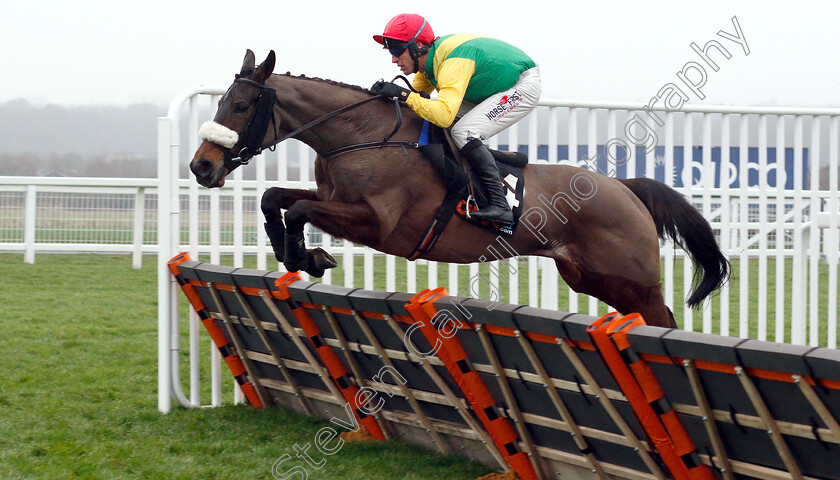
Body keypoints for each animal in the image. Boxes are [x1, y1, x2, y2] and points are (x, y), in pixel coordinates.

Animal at [189, 50, 728, 328]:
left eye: (240, 105)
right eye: (222, 102)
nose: (201, 166)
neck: (361, 135)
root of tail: (624, 188)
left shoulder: (377, 223)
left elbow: (299, 209)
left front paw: (309, 256)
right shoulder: (337, 201)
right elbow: (276, 198)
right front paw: (293, 252)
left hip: (631, 279)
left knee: (662, 319)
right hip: (592, 278)